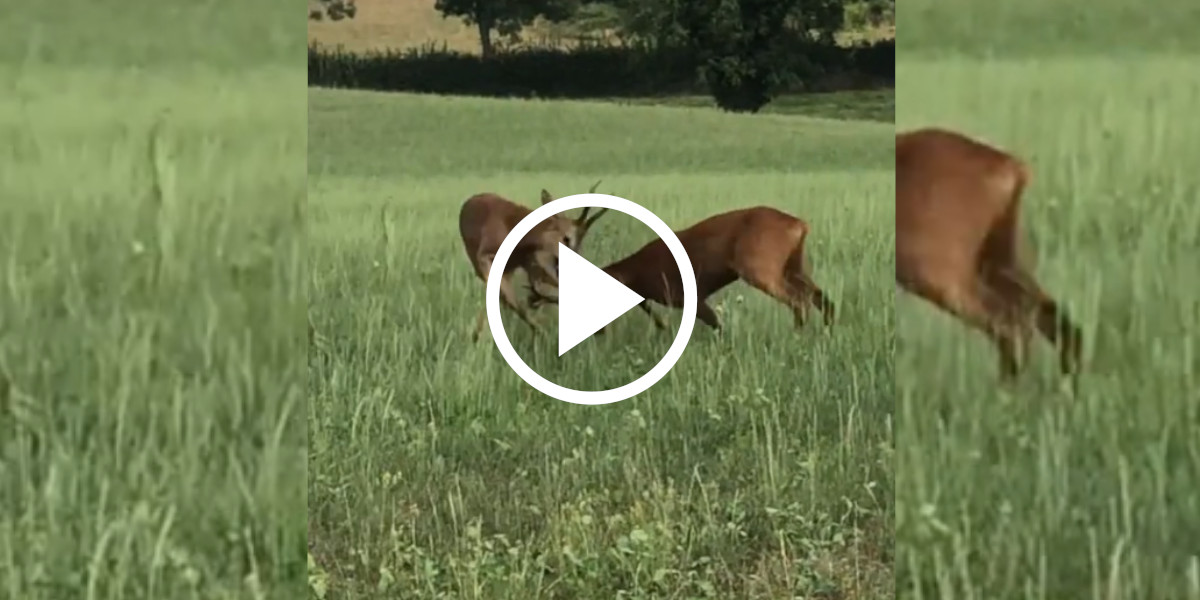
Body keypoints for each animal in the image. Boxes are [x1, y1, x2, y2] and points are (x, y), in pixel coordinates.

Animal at [532, 207, 835, 336]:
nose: (596, 333)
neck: (638, 274)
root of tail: (800, 224)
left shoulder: (685, 295)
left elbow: (718, 326)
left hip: (760, 265)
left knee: (800, 301)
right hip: (794, 264)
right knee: (823, 298)